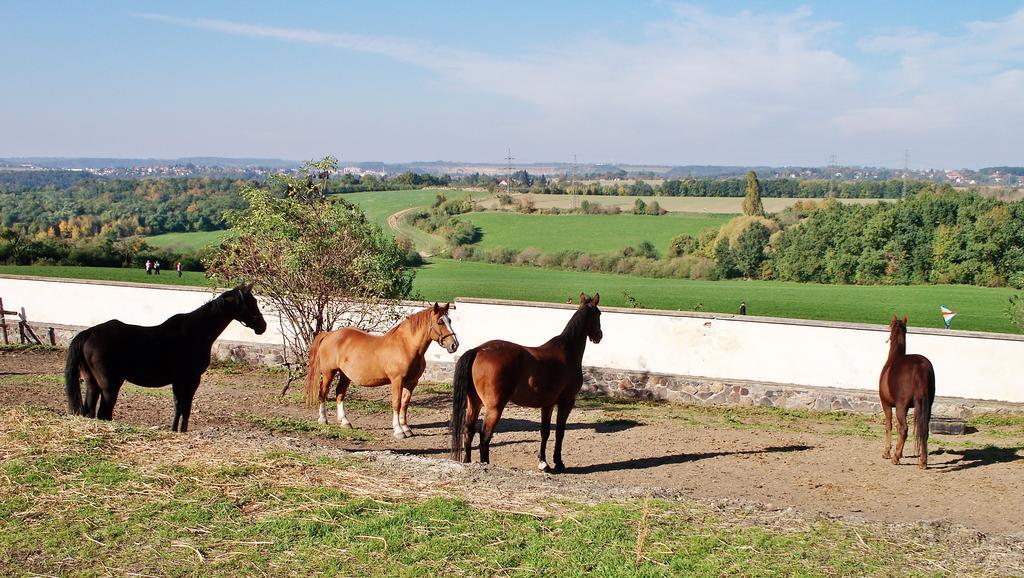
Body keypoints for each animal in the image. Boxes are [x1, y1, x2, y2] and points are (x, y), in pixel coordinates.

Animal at [61, 284, 266, 434]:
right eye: (252, 301)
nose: (262, 326)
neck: (196, 331)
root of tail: (88, 333)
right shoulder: (191, 380)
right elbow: (185, 406)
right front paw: (182, 431)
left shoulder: (178, 381)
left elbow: (178, 406)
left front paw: (175, 430)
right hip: (110, 386)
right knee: (104, 413)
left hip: (92, 384)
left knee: (89, 411)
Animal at [303, 303, 460, 438]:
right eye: (440, 322)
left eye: (450, 320)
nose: (454, 345)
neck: (406, 346)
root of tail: (330, 334)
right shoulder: (397, 381)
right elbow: (396, 403)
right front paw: (398, 431)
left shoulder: (411, 383)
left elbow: (405, 404)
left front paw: (406, 429)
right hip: (328, 372)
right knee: (323, 392)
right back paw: (323, 419)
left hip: (345, 375)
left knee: (340, 393)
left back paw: (345, 422)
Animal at [448, 291, 598, 471]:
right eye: (599, 314)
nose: (599, 336)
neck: (567, 351)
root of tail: (478, 350)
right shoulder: (566, 402)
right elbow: (560, 432)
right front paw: (558, 462)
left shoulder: (547, 404)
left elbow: (545, 432)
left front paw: (543, 462)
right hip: (494, 407)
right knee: (484, 436)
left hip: (474, 403)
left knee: (469, 431)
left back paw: (468, 462)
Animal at [880, 315, 937, 469]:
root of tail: (920, 365)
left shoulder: (886, 405)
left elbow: (889, 426)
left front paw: (887, 452)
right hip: (927, 406)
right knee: (924, 430)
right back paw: (922, 461)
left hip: (900, 406)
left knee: (904, 429)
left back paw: (896, 458)